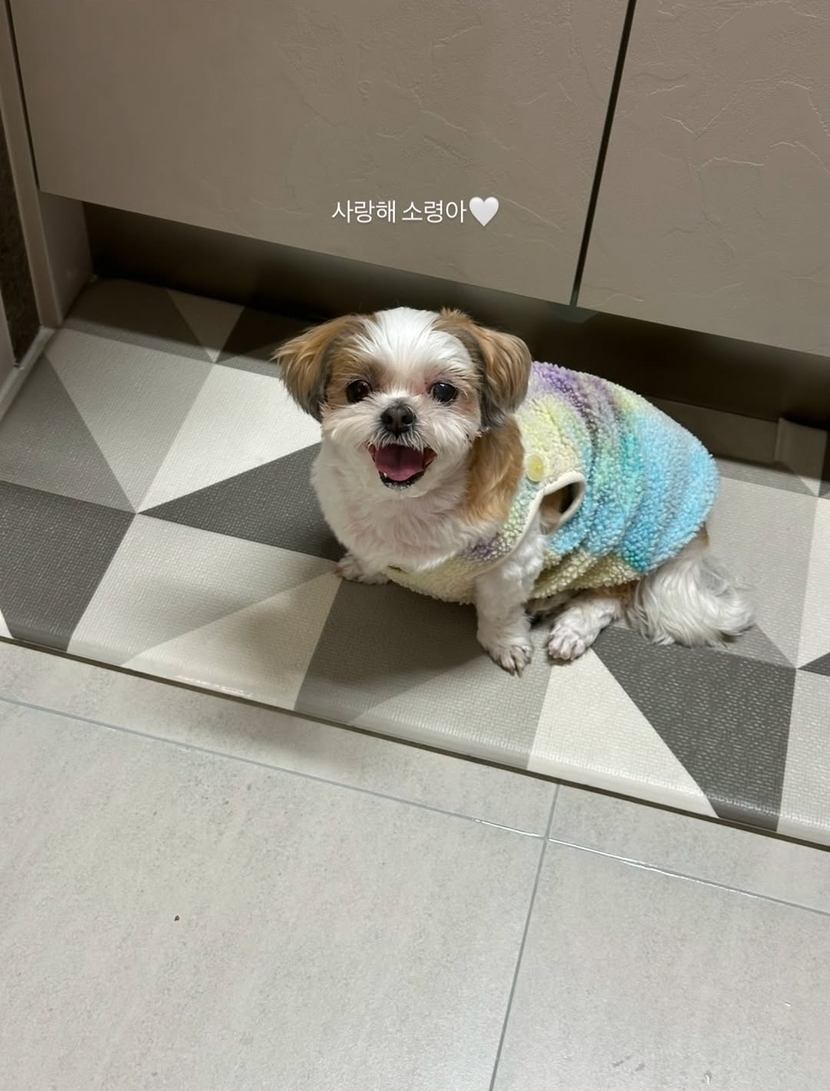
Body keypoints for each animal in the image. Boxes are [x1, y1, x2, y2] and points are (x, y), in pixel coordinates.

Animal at [274, 306, 753, 674]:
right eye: (358, 389)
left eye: (444, 391)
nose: (397, 414)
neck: (406, 505)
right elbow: (373, 556)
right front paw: (366, 567)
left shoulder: (513, 561)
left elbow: (499, 610)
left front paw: (505, 644)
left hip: (624, 534)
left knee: (611, 595)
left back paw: (571, 628)